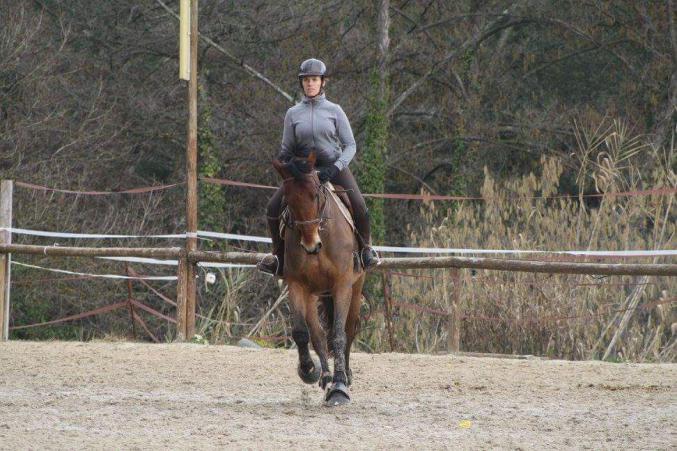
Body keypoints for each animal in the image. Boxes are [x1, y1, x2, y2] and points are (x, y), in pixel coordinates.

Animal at [272, 152, 365, 406]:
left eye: (315, 195)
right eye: (288, 200)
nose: (310, 245)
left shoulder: (342, 285)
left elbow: (339, 335)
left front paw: (340, 387)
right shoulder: (296, 285)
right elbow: (302, 333)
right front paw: (308, 371)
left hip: (355, 289)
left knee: (349, 331)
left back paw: (345, 377)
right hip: (313, 294)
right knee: (317, 335)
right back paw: (325, 377)